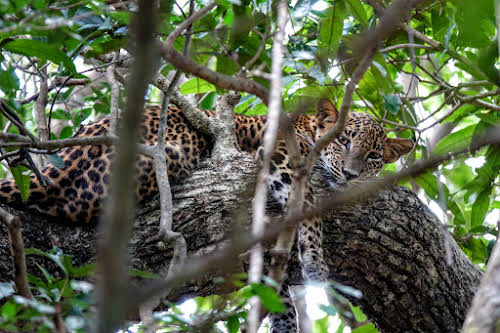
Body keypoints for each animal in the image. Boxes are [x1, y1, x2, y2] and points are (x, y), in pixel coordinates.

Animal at [0, 97, 412, 330]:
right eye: (344, 141)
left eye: (374, 155)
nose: (351, 175)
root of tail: (56, 171)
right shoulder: (280, 160)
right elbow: (308, 207)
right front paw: (315, 261)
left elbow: (278, 291)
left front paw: (284, 321)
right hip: (170, 155)